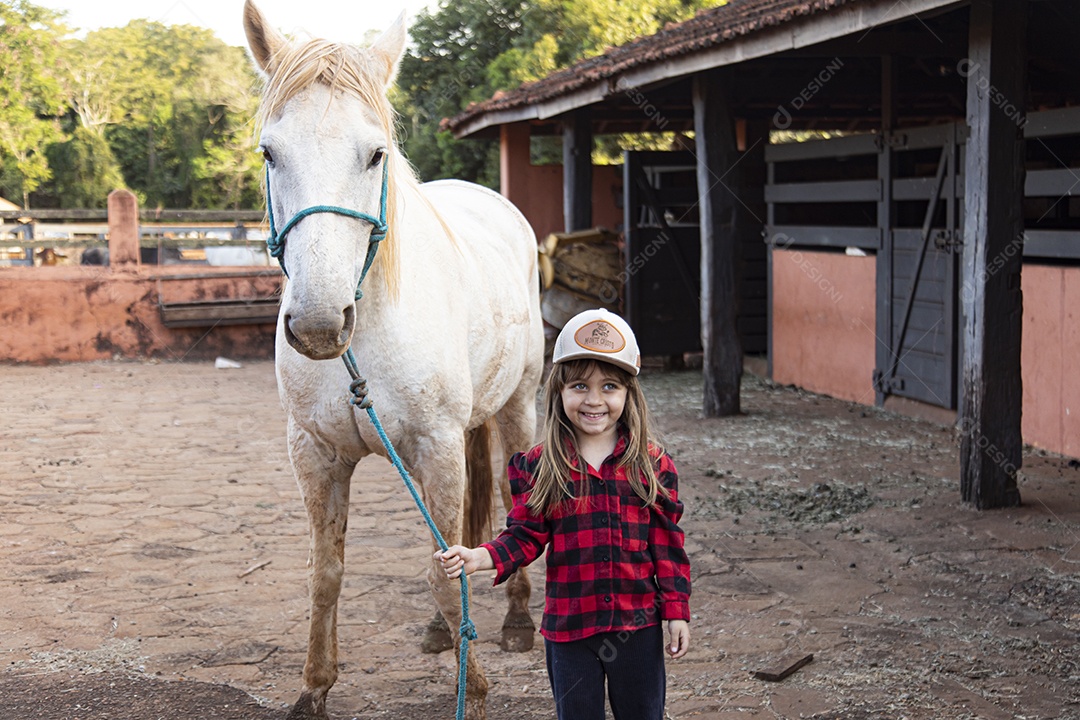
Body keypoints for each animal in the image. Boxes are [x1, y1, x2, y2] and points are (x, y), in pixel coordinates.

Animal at [242, 3, 543, 719]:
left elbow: (443, 567)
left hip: (517, 407)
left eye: (375, 153)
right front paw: (314, 688)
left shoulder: (437, 445)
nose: (318, 324)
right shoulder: (316, 453)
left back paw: (518, 619)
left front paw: (475, 690)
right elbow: (327, 573)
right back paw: (442, 631)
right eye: (270, 152)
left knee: (506, 499)